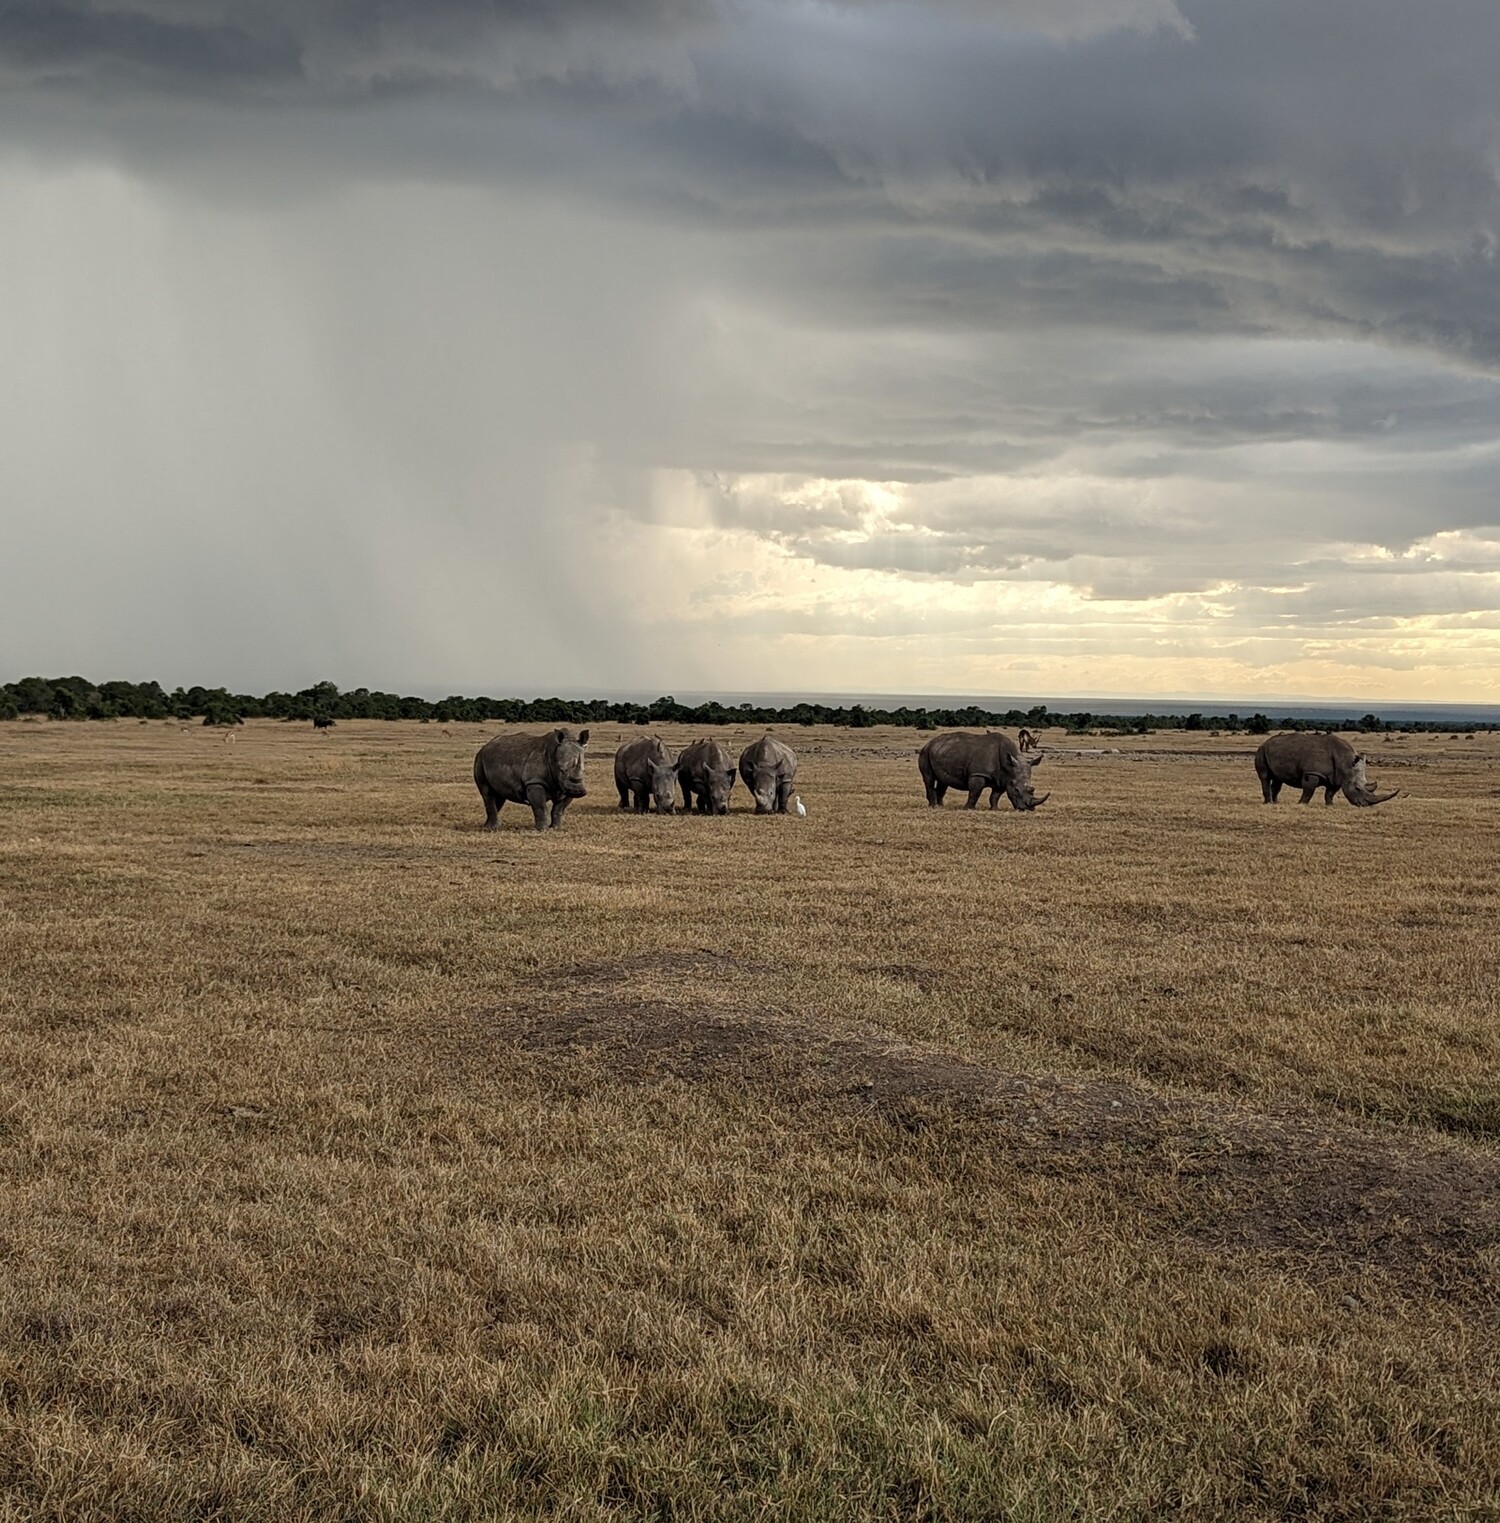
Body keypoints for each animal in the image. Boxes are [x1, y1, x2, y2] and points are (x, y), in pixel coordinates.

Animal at [918, 731, 1048, 811]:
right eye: (1016, 790)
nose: (1028, 808)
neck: (1008, 767)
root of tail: (930, 742)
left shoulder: (1003, 779)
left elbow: (995, 795)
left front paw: (995, 809)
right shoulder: (978, 774)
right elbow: (975, 792)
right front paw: (968, 808)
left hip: (942, 752)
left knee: (943, 782)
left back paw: (941, 806)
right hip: (925, 752)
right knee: (929, 779)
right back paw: (933, 807)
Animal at [1255, 732, 1398, 807]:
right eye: (1357, 788)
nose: (1364, 805)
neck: (1345, 762)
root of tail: (1265, 742)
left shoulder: (1337, 777)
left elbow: (1330, 793)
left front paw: (1330, 805)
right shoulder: (1312, 772)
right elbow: (1309, 790)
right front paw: (1302, 804)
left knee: (1278, 779)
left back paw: (1275, 803)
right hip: (1261, 750)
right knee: (1265, 777)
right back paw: (1268, 803)